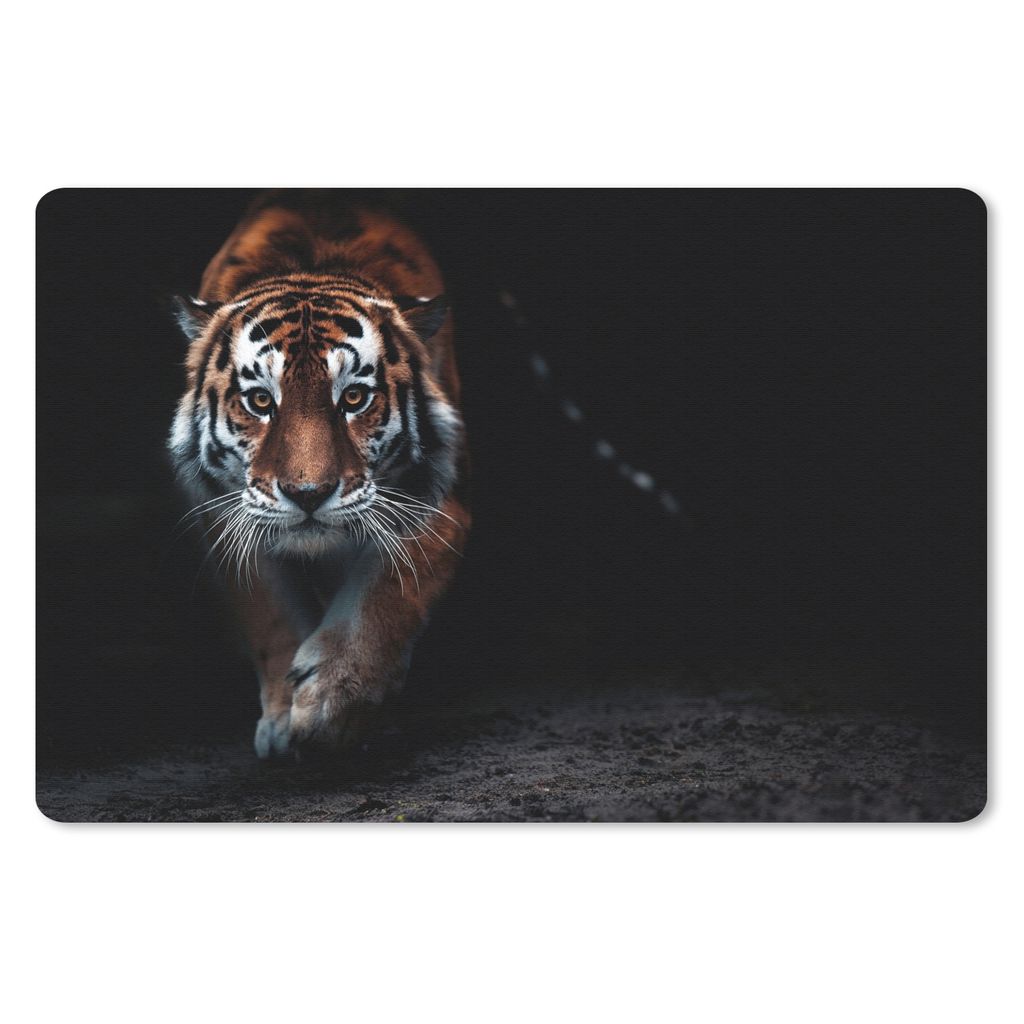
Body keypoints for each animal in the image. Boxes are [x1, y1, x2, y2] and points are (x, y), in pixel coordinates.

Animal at [168, 191, 471, 760]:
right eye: (261, 401)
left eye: (353, 398)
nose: (308, 494)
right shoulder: (224, 514)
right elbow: (270, 614)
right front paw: (284, 721)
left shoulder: (440, 501)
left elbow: (387, 594)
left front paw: (332, 703)